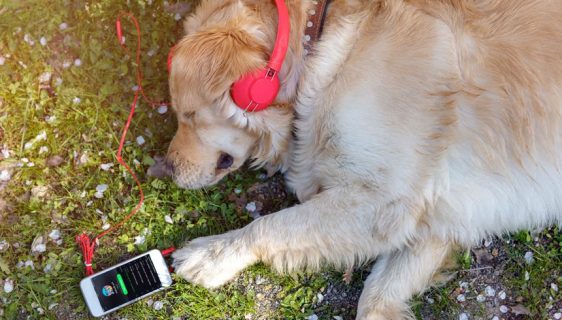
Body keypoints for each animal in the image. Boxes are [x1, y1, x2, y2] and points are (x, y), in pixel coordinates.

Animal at [164, 1, 560, 318]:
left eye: (188, 115)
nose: (166, 168)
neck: (318, 46)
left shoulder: (383, 199)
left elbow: (268, 226)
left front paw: (212, 254)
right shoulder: (435, 215)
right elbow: (374, 300)